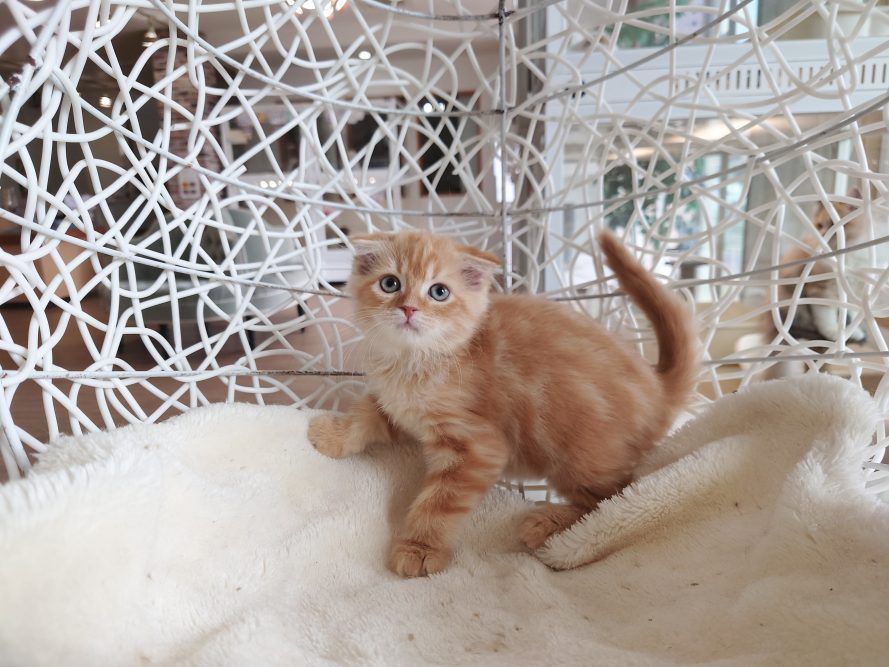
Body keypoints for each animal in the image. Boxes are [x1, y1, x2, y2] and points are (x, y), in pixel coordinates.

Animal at [308, 230, 698, 577]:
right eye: (390, 284)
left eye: (439, 292)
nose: (408, 308)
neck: (417, 361)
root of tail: (657, 387)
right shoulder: (396, 405)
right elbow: (367, 413)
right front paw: (331, 434)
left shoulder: (479, 445)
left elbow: (439, 502)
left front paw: (419, 548)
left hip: (582, 459)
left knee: (610, 500)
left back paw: (549, 523)